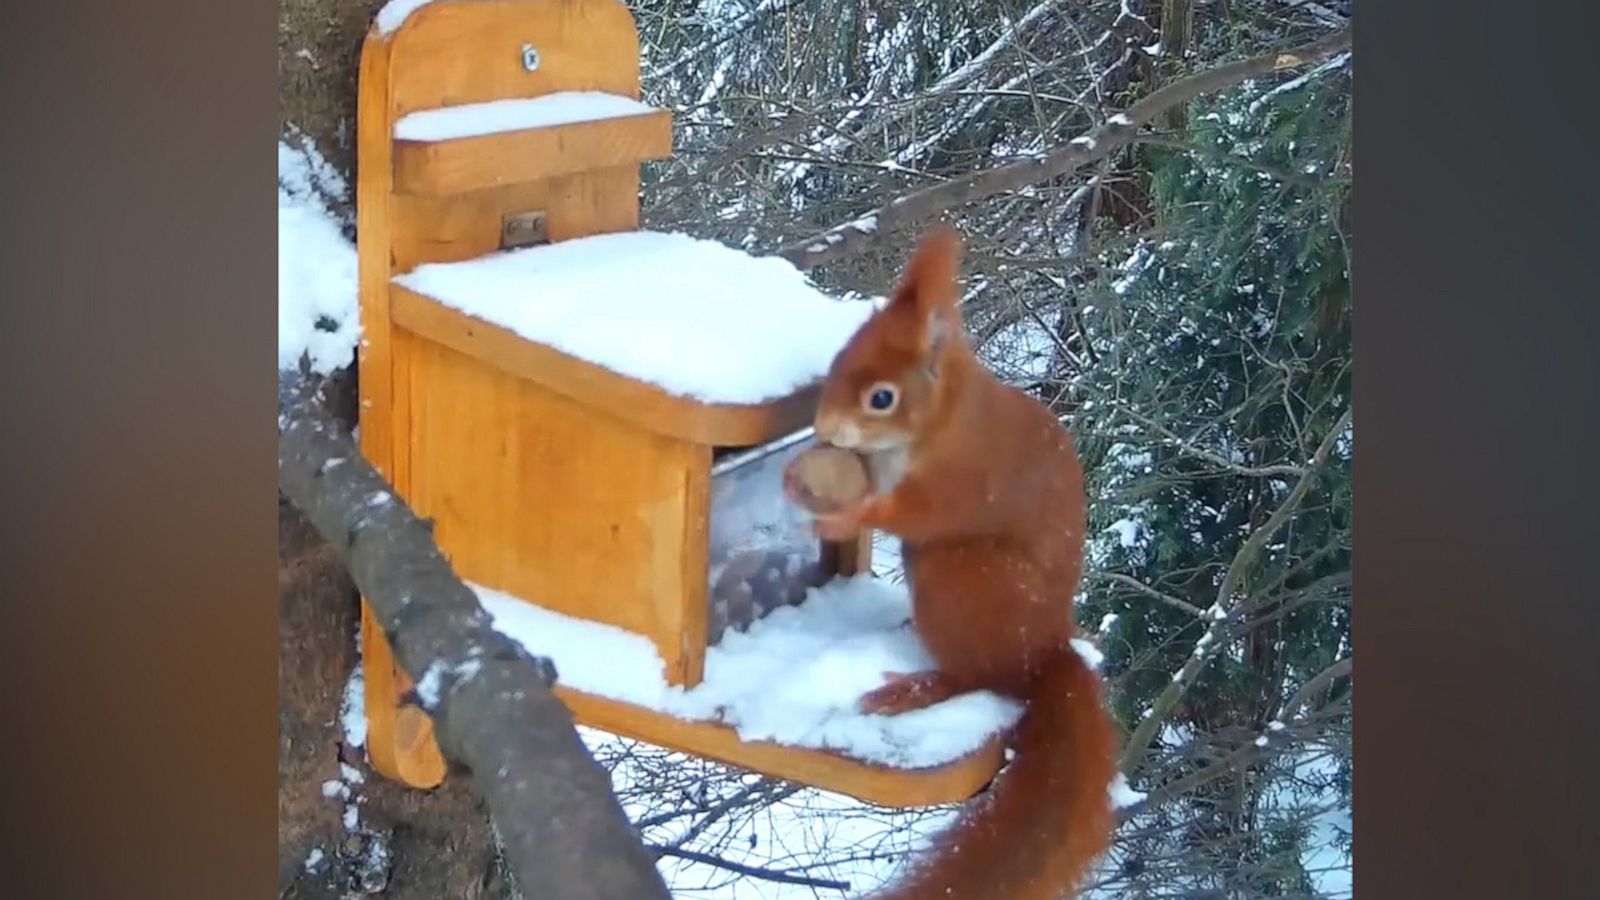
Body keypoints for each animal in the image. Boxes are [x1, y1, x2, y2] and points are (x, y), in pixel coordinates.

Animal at [784, 225, 1120, 896]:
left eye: (881, 398)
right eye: (837, 360)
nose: (824, 426)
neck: (938, 421)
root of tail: (1040, 655)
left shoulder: (962, 478)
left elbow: (910, 513)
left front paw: (841, 518)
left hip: (959, 577)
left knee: (977, 677)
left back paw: (916, 688)